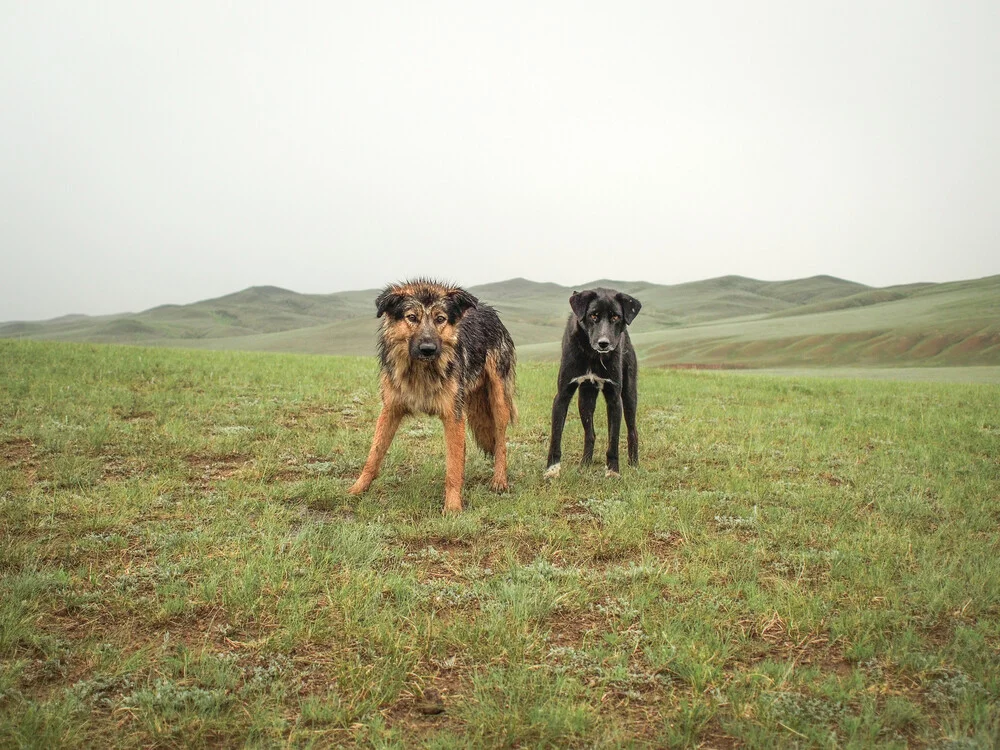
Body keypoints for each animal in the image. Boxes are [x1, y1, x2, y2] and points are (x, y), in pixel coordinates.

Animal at [348, 280, 516, 516]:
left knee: (500, 442)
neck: (421, 371)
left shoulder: (452, 415)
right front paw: (357, 489)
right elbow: (374, 455)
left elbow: (452, 468)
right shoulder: (390, 409)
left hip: (498, 400)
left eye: (440, 319)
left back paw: (499, 480)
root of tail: (490, 310)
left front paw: (453, 507)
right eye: (412, 317)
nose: (428, 349)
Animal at [548, 286, 640, 476]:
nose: (603, 343)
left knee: (632, 431)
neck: (592, 355)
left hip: (629, 395)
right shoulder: (563, 395)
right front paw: (552, 469)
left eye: (615, 317)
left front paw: (613, 471)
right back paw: (585, 464)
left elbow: (613, 440)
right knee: (590, 434)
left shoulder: (614, 398)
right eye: (593, 315)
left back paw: (634, 464)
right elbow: (556, 436)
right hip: (585, 399)